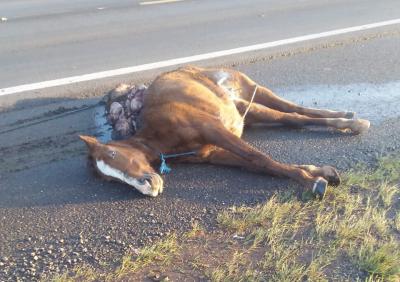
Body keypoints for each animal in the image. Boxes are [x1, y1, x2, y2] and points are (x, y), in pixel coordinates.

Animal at [79, 65, 370, 198]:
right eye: (111, 181)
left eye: (112, 154)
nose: (147, 187)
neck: (162, 138)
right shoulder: (215, 153)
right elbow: (263, 165)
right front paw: (319, 173)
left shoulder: (213, 129)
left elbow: (259, 158)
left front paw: (311, 182)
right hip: (248, 111)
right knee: (292, 119)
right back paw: (347, 119)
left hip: (255, 93)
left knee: (293, 111)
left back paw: (351, 121)